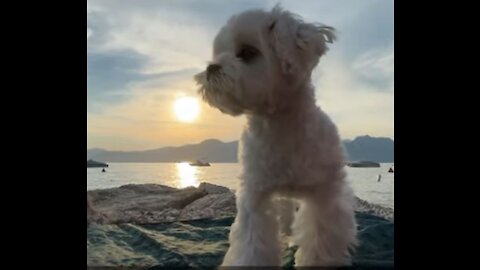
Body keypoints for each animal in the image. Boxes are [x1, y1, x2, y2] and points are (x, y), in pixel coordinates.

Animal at [194, 5, 356, 266]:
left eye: (248, 52)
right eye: (218, 53)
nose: (211, 68)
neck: (278, 125)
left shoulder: (325, 195)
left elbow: (319, 241)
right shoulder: (255, 196)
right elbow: (251, 244)